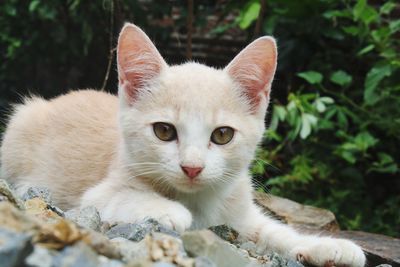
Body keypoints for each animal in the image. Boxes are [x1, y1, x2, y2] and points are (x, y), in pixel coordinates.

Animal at [1, 23, 366, 267]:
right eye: (164, 131)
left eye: (222, 135)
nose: (192, 167)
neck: (200, 200)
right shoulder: (96, 196)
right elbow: (123, 198)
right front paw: (169, 210)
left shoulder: (241, 211)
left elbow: (274, 232)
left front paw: (327, 247)